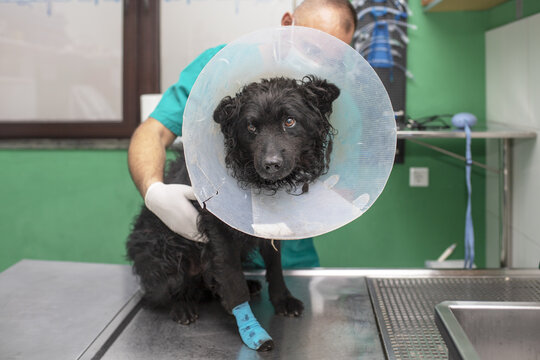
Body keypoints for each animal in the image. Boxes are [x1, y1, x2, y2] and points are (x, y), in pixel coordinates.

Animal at [126, 75, 340, 348]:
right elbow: (232, 278)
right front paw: (249, 326)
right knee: (174, 285)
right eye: (251, 127)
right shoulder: (219, 230)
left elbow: (275, 267)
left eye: (289, 121)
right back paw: (183, 305)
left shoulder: (270, 229)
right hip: (162, 246)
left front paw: (282, 299)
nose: (271, 164)